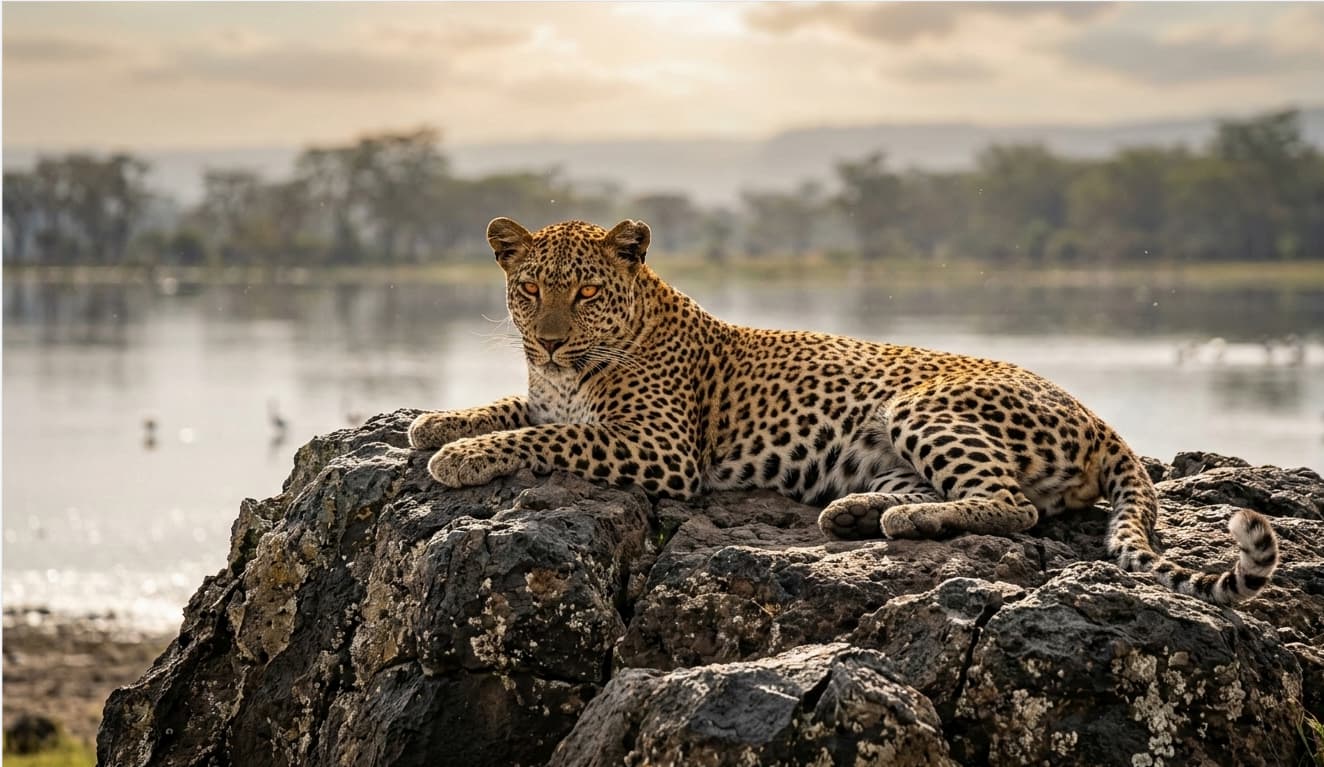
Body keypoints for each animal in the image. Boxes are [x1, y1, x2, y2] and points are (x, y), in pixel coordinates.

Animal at [409, 216, 1279, 605]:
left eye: (586, 291)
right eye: (530, 289)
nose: (551, 339)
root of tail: (1101, 421)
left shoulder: (662, 450)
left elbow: (549, 434)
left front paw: (456, 456)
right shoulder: (548, 391)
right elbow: (514, 407)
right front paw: (435, 423)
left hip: (922, 408)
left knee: (1012, 506)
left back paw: (891, 520)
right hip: (898, 446)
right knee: (961, 495)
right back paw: (858, 513)